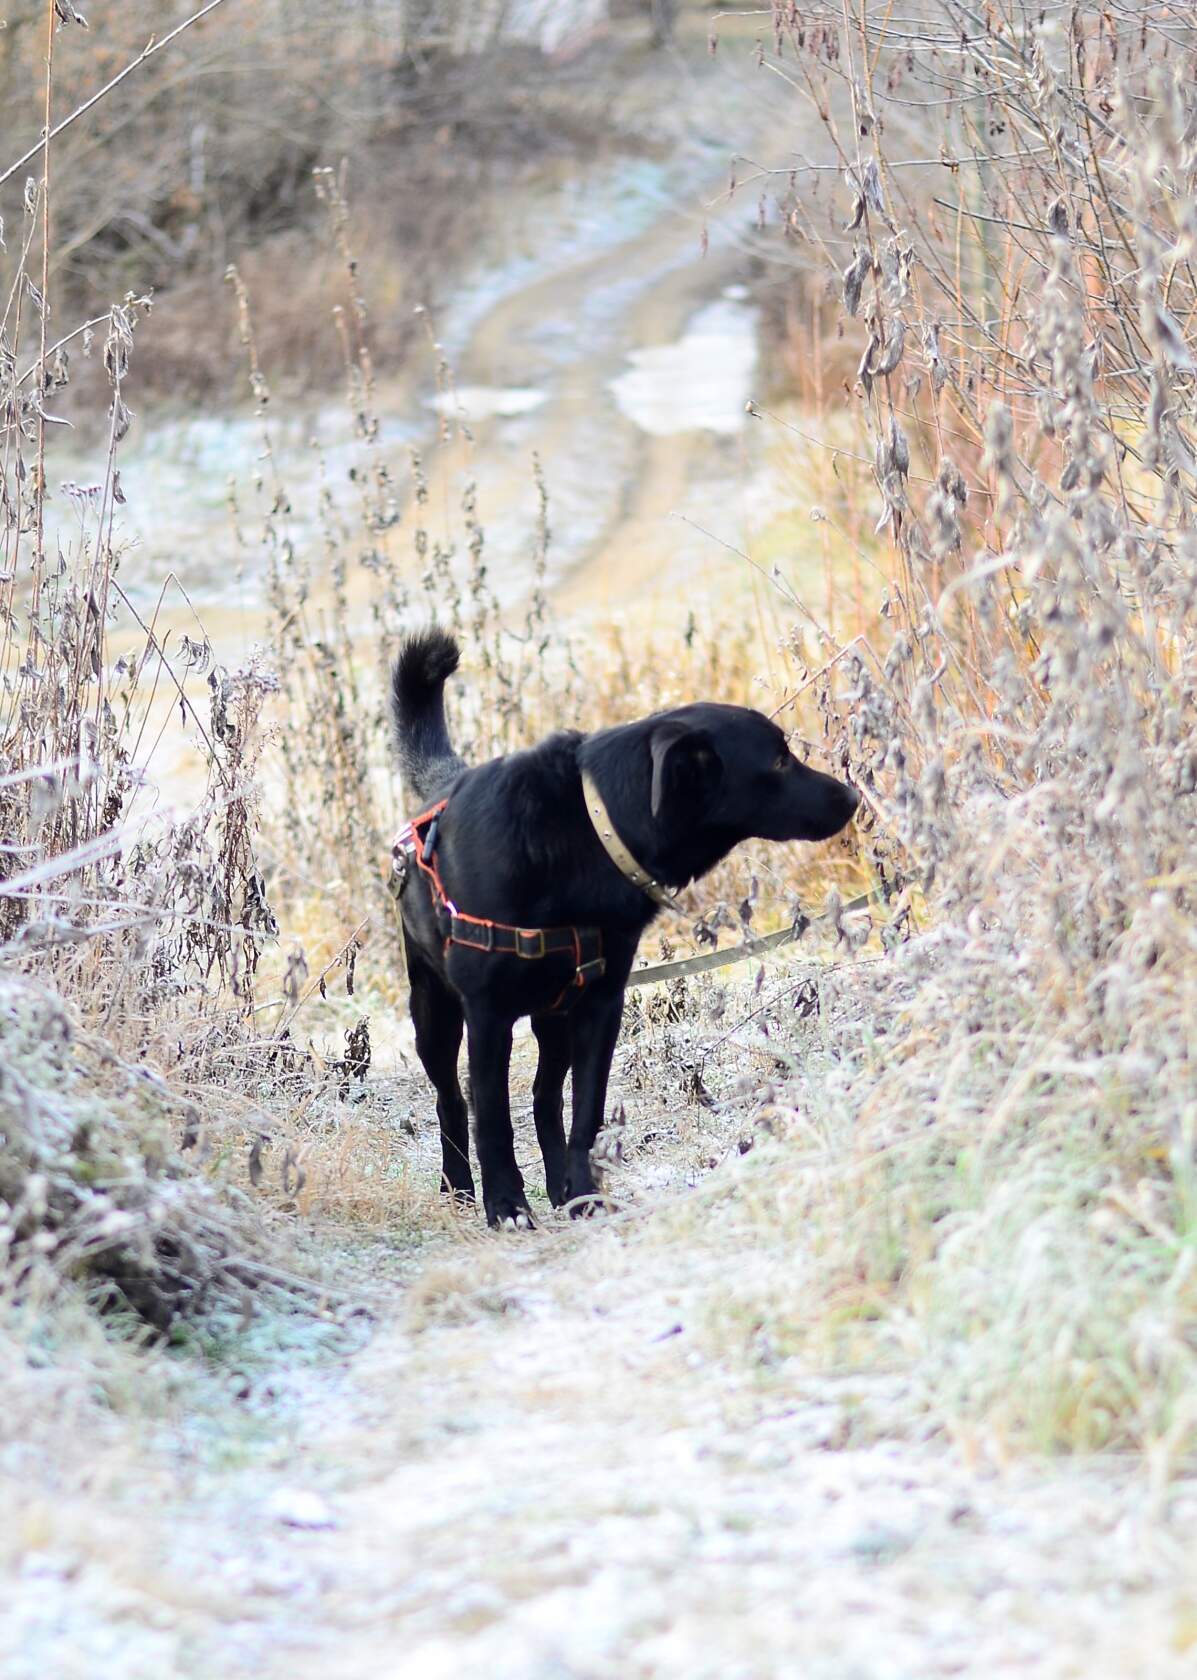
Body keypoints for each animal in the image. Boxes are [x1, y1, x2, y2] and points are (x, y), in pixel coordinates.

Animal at [388, 624, 854, 1229]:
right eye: (777, 762)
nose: (852, 796)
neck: (590, 828)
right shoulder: (488, 1014)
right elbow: (491, 1117)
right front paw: (507, 1205)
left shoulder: (599, 1006)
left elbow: (584, 1114)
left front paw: (586, 1194)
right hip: (435, 1011)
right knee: (452, 1098)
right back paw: (459, 1185)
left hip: (554, 1015)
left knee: (544, 1096)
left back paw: (560, 1189)